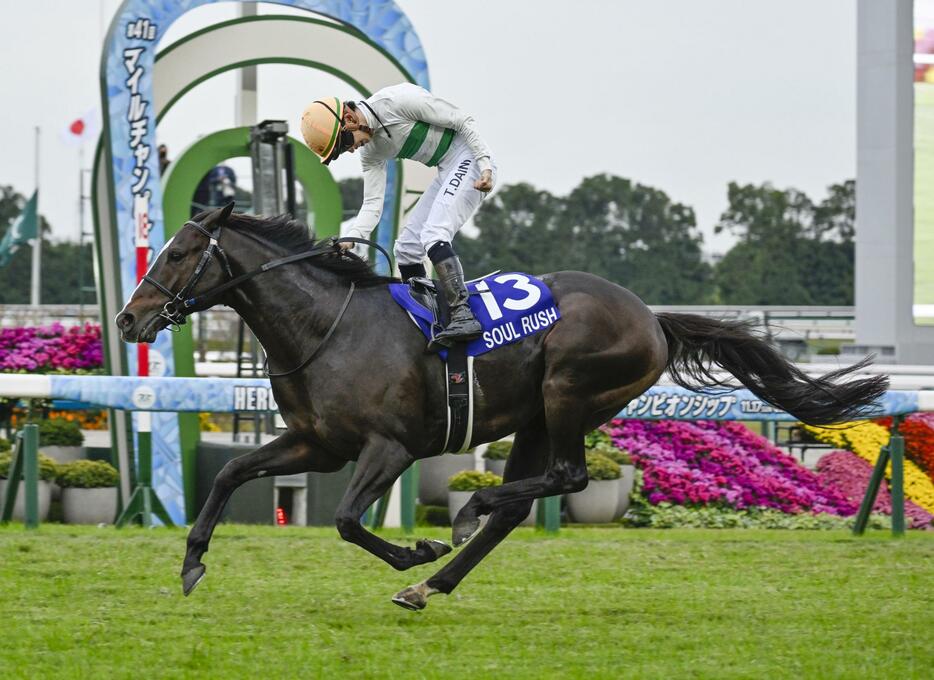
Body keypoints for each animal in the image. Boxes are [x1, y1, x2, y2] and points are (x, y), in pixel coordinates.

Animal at [113, 203, 888, 612]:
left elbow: (345, 520)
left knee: (565, 479)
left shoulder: (389, 447)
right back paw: (433, 581)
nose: (127, 320)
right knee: (521, 504)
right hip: (537, 417)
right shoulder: (318, 445)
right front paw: (191, 564)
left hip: (569, 392)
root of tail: (653, 317)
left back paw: (457, 524)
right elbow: (228, 473)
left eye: (179, 253)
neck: (326, 325)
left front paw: (415, 545)